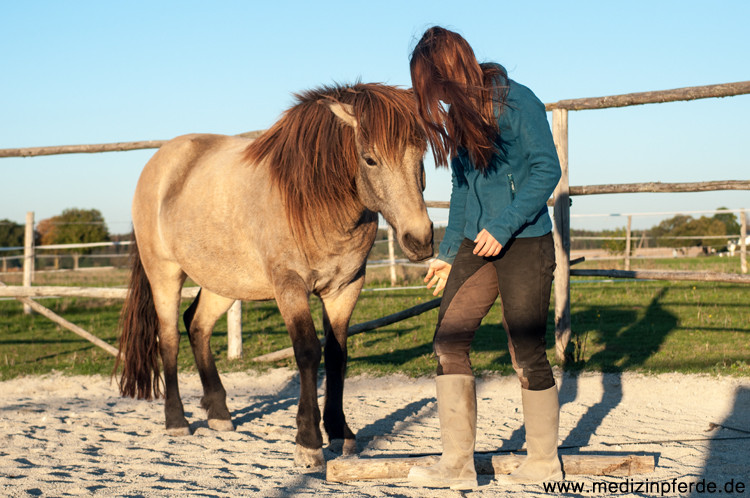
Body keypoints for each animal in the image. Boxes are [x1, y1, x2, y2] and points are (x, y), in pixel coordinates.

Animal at [116, 81, 434, 466]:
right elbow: (308, 352)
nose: (419, 239)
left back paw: (219, 414)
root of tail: (159, 162)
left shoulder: (345, 287)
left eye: (421, 155)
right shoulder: (290, 286)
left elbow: (337, 355)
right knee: (169, 338)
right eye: (370, 158)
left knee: (197, 325)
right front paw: (308, 442)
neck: (312, 200)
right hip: (164, 274)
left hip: (225, 282)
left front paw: (340, 432)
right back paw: (176, 421)